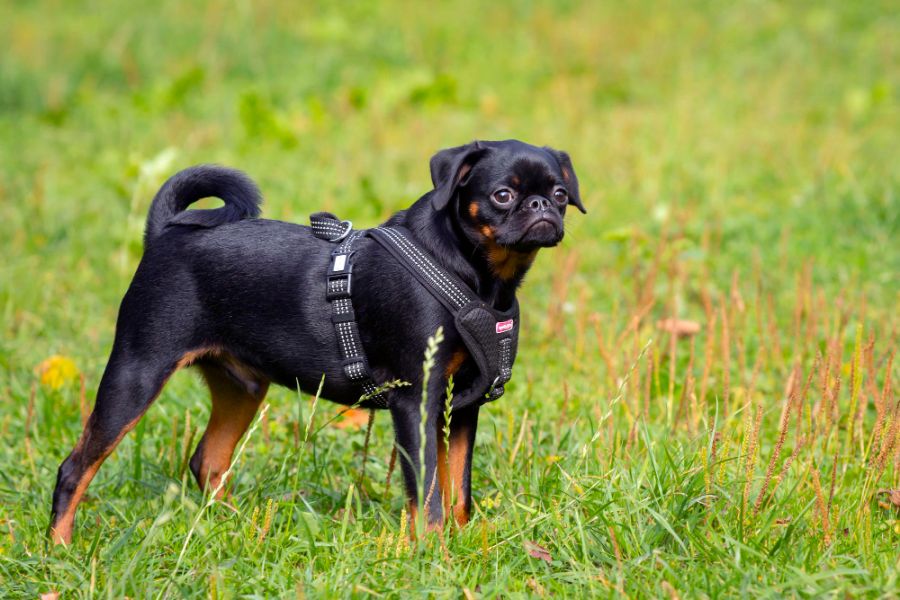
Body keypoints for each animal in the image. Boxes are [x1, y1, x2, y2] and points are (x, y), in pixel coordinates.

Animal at [49, 141, 584, 544]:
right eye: (502, 195)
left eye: (560, 193)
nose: (542, 207)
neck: (476, 276)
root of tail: (165, 233)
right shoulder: (416, 402)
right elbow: (427, 492)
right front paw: (431, 551)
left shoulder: (462, 407)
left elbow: (458, 490)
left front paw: (463, 543)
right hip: (137, 374)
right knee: (75, 467)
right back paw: (60, 547)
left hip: (242, 388)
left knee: (208, 459)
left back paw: (238, 529)